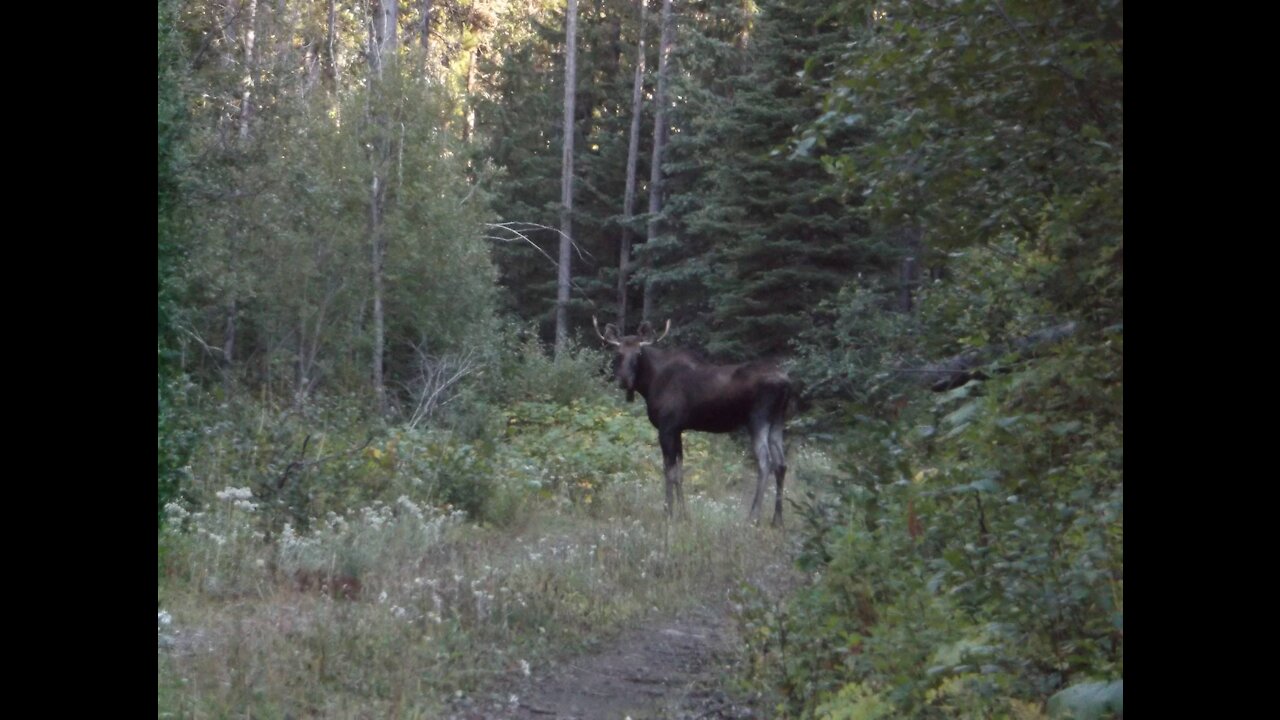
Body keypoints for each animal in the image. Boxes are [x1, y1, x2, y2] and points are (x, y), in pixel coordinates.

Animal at [593, 316, 793, 525]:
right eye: (618, 353)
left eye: (638, 353)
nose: (625, 380)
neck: (649, 383)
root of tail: (786, 383)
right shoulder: (678, 429)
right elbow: (679, 472)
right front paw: (683, 513)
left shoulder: (666, 427)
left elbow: (669, 471)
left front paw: (668, 512)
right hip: (777, 420)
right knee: (781, 464)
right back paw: (777, 519)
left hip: (757, 419)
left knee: (765, 462)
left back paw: (753, 516)